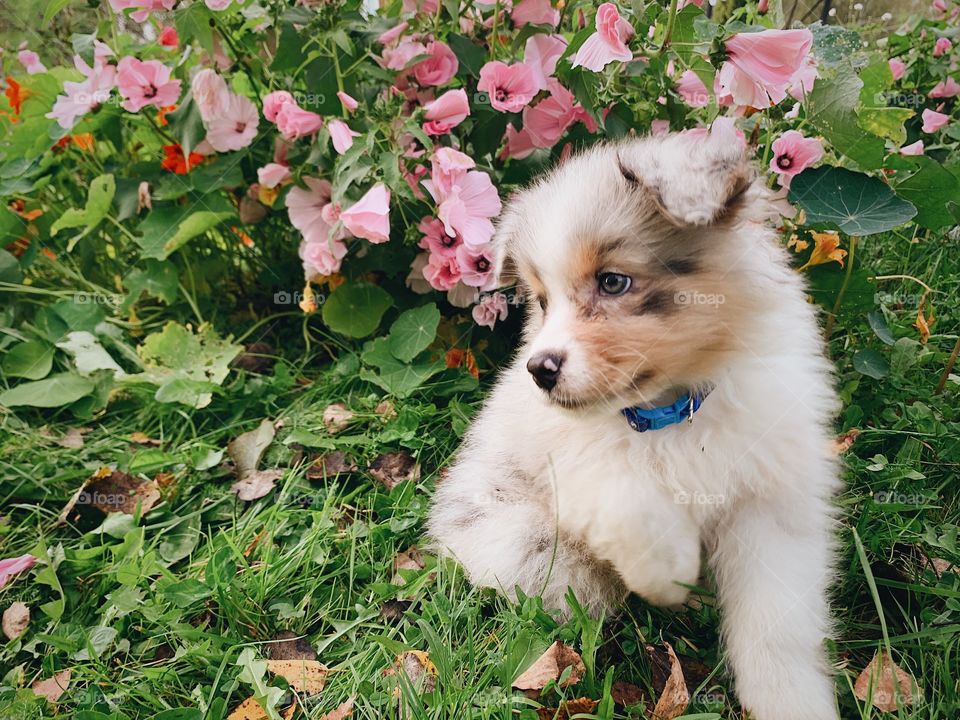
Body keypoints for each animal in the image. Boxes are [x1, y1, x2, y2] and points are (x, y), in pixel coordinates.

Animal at [428, 131, 840, 720]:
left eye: (613, 281)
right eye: (543, 301)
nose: (539, 369)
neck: (670, 411)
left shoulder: (767, 502)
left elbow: (775, 623)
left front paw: (793, 701)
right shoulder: (574, 462)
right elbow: (631, 503)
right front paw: (670, 573)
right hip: (524, 539)